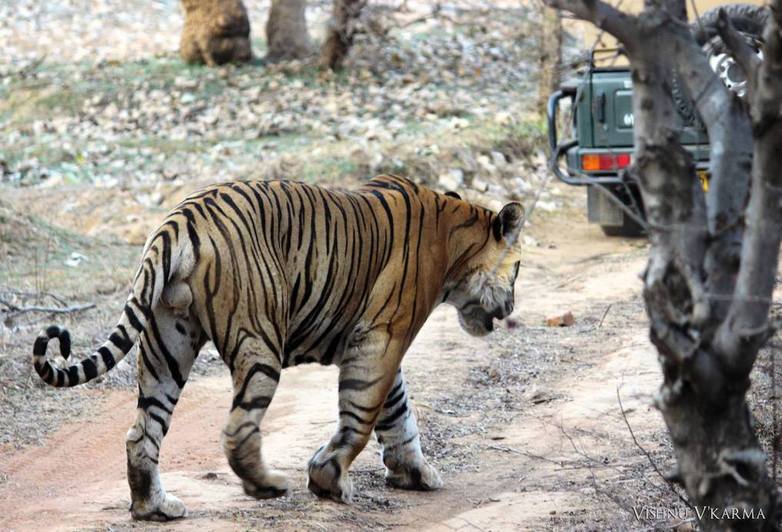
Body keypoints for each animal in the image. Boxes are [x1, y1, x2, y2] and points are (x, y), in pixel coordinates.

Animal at [35, 175, 528, 520]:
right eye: (520, 268)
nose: (510, 307)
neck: (454, 242)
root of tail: (182, 218)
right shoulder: (381, 338)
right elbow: (364, 415)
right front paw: (329, 480)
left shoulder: (378, 343)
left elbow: (398, 412)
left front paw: (415, 473)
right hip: (259, 343)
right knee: (237, 429)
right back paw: (268, 485)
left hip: (167, 344)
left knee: (142, 432)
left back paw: (153, 508)